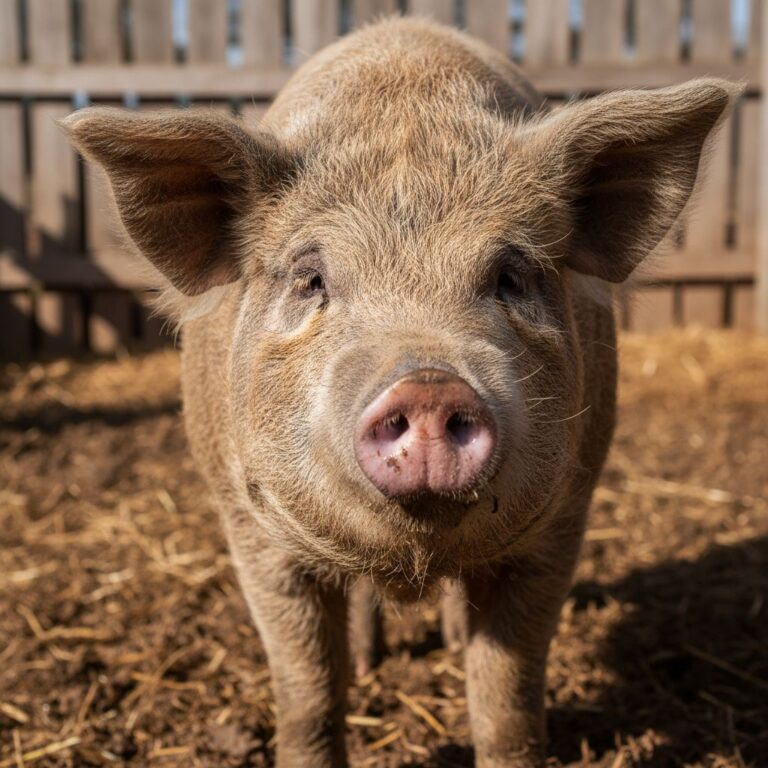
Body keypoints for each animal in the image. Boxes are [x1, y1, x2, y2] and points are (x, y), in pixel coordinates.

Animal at [63, 16, 736, 768]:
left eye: (509, 276)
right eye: (311, 279)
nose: (429, 385)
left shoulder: (563, 518)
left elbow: (506, 694)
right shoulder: (249, 527)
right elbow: (307, 690)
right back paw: (368, 658)